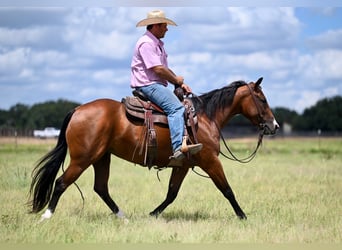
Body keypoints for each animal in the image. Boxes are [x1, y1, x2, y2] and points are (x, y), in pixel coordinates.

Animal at [28, 76, 278, 221]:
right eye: (263, 100)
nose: (274, 125)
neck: (205, 117)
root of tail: (77, 110)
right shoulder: (209, 160)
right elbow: (227, 189)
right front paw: (243, 216)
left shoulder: (183, 165)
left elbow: (171, 194)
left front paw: (152, 214)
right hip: (82, 159)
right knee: (61, 183)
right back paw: (46, 217)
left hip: (101, 158)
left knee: (101, 188)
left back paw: (123, 217)